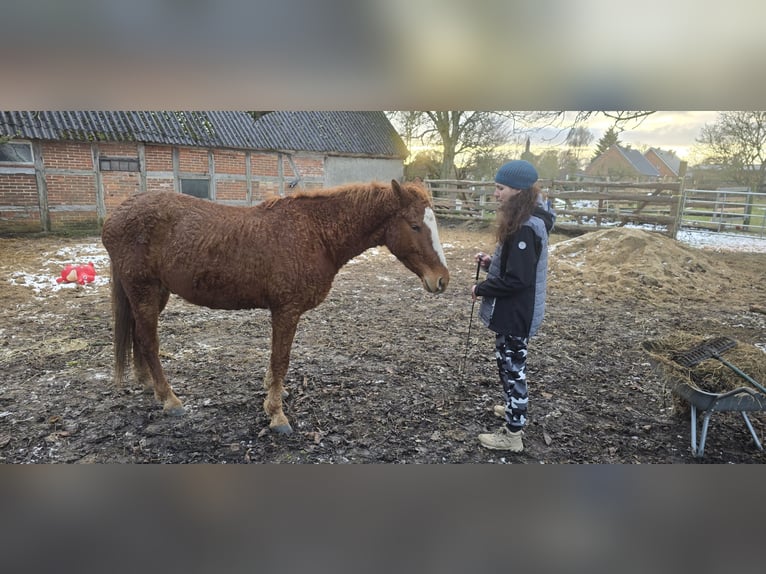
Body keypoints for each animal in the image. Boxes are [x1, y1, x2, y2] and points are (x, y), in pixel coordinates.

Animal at [101, 180, 449, 434]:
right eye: (415, 226)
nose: (442, 280)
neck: (316, 234)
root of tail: (114, 217)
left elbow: (276, 362)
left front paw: (274, 394)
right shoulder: (286, 310)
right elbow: (281, 359)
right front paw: (277, 415)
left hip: (153, 294)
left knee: (139, 337)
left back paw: (148, 384)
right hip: (144, 291)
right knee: (149, 341)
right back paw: (169, 399)